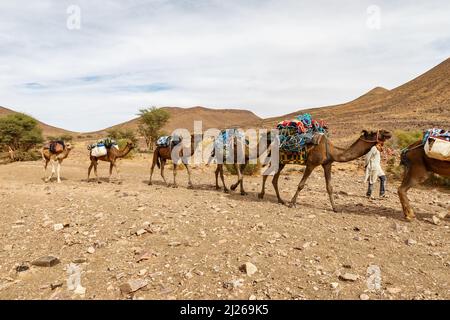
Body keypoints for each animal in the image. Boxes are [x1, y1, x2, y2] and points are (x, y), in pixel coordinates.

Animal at [258, 129, 392, 211]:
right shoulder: (311, 164)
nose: (388, 133)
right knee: (267, 175)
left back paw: (279, 200)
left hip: (281, 162)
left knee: (273, 178)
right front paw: (292, 203)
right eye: (373, 132)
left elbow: (329, 187)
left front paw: (335, 208)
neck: (332, 151)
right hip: (278, 159)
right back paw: (262, 195)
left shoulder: (327, 164)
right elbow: (301, 185)